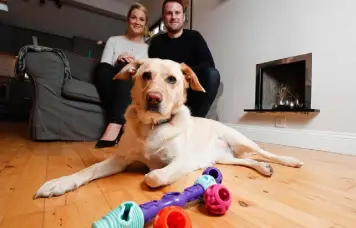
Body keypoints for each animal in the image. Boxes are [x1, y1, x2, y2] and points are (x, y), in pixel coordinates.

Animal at [34, 58, 304, 198]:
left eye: (172, 79)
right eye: (145, 75)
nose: (153, 98)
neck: (152, 127)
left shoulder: (181, 161)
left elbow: (153, 176)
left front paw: (154, 174)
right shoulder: (119, 159)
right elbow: (88, 170)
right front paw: (59, 183)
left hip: (240, 139)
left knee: (265, 152)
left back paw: (289, 161)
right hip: (223, 158)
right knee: (246, 160)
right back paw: (263, 168)